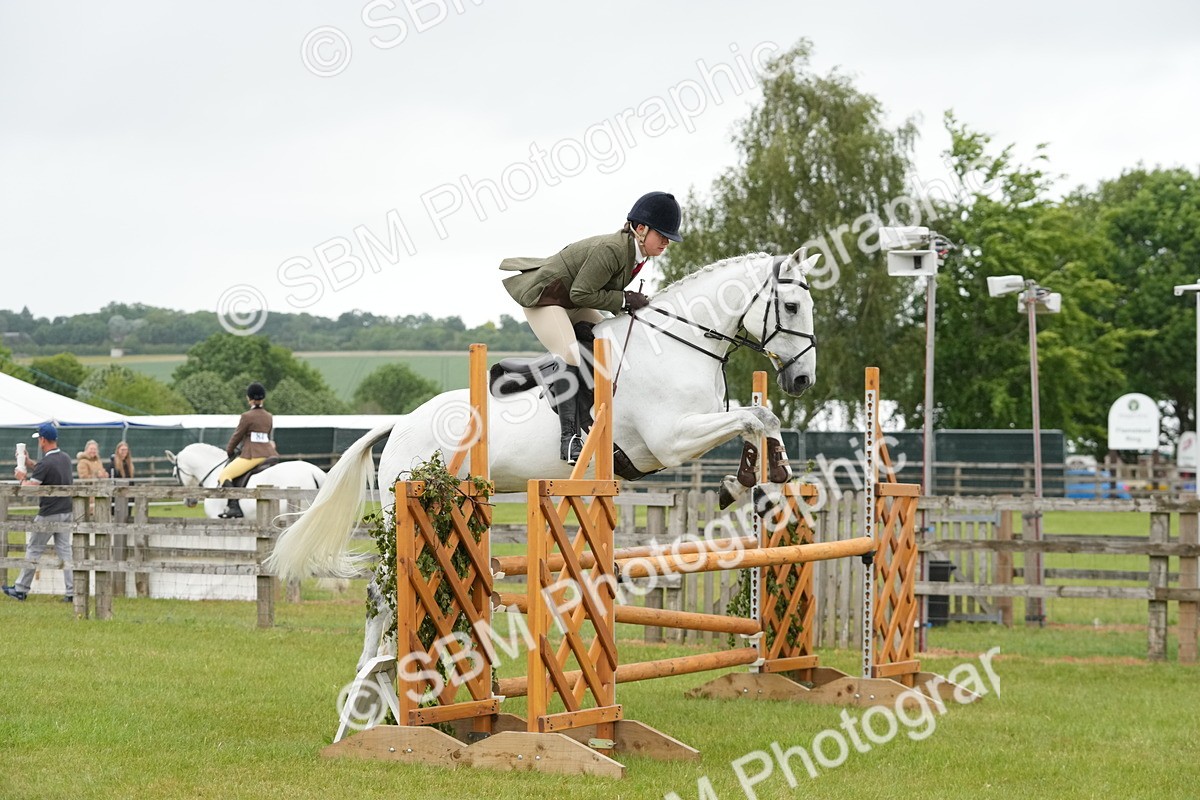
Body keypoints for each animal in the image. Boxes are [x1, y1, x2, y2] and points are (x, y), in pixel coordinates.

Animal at [266, 248, 819, 672]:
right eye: (791, 306)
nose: (802, 381)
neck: (677, 345)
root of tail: (399, 423)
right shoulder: (670, 440)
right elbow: (753, 417)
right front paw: (748, 479)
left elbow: (759, 417)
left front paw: (762, 476)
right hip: (407, 502)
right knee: (381, 588)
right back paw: (374, 673)